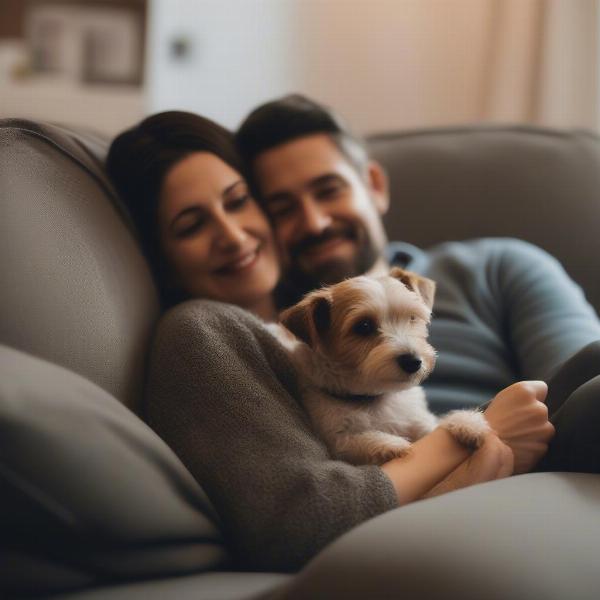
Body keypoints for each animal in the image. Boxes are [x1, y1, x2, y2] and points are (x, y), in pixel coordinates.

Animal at [270, 268, 490, 468]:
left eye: (411, 317)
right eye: (363, 326)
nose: (413, 361)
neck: (372, 398)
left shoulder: (418, 421)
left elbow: (435, 425)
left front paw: (466, 422)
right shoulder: (336, 441)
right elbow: (355, 441)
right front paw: (391, 444)